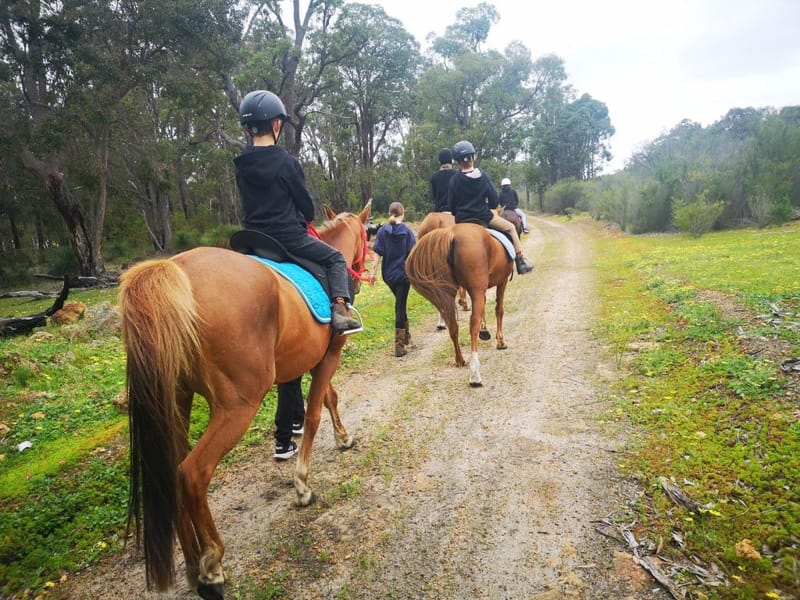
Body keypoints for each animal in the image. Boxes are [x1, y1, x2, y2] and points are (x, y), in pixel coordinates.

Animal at [119, 203, 371, 599]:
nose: (358, 278)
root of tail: (176, 271)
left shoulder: (316, 358)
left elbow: (329, 398)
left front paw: (343, 438)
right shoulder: (331, 352)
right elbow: (314, 413)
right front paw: (302, 485)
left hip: (176, 400)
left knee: (172, 474)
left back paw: (191, 566)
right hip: (239, 404)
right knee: (192, 473)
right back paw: (211, 565)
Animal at [405, 223, 513, 387]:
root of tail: (451, 234)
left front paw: (485, 331)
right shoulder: (502, 281)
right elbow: (499, 310)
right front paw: (500, 341)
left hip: (448, 290)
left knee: (452, 326)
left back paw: (460, 359)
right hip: (476, 288)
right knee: (472, 324)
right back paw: (475, 374)